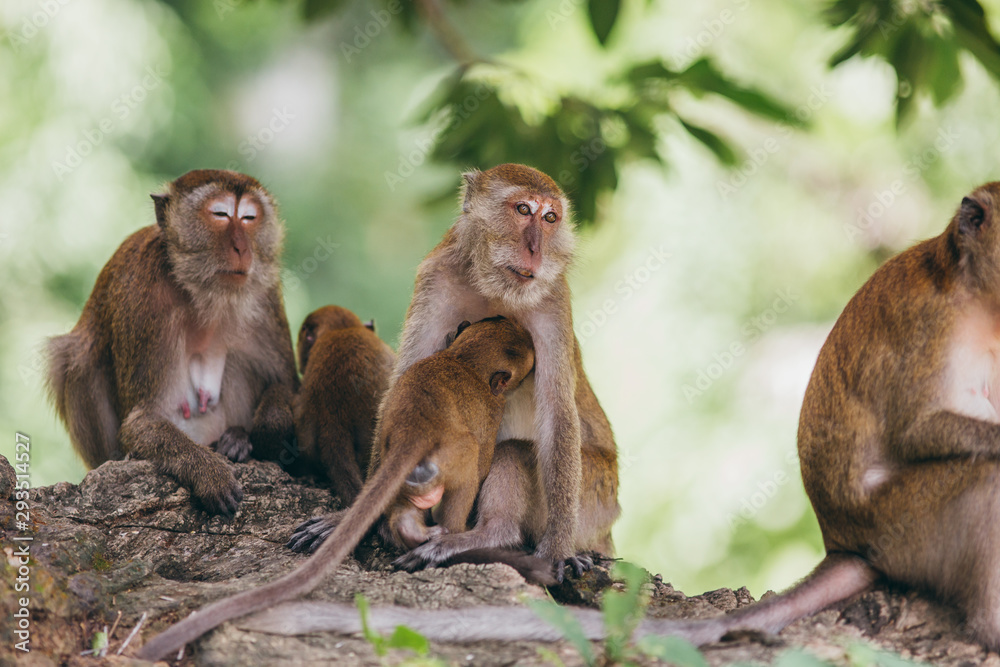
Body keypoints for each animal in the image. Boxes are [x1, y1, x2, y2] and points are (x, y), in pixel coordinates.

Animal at [47, 170, 296, 516]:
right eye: (220, 214)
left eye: (249, 218)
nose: (241, 248)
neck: (204, 293)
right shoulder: (145, 297)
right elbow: (141, 422)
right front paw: (209, 472)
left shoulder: (265, 297)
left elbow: (288, 384)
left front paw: (263, 429)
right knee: (76, 359)